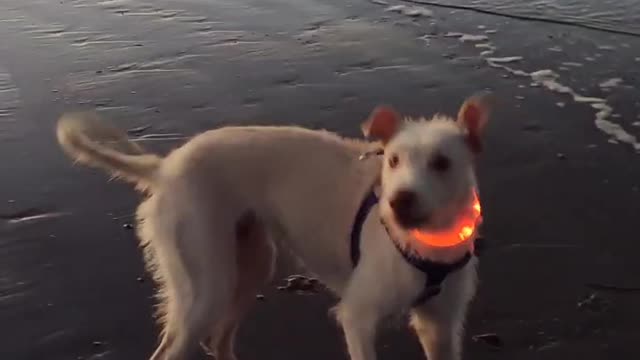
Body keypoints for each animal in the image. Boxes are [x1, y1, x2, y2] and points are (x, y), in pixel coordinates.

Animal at [56, 94, 490, 360]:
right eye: (394, 160)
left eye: (442, 163)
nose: (398, 203)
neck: (428, 243)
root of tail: (165, 168)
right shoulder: (358, 317)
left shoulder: (441, 327)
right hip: (207, 286)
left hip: (250, 267)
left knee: (218, 341)